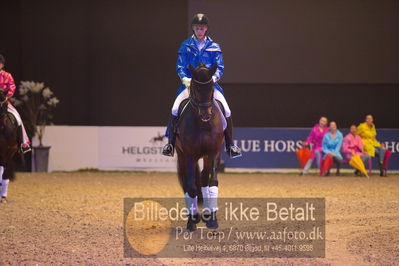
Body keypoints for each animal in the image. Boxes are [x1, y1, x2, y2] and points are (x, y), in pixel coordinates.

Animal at [177, 62, 227, 231]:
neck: (202, 124)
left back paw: (207, 212)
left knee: (204, 179)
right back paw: (193, 216)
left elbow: (212, 183)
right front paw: (193, 220)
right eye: (195, 87)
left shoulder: (213, 153)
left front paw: (212, 219)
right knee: (187, 183)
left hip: (206, 156)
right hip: (181, 155)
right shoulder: (189, 156)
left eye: (211, 87)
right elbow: (192, 187)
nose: (206, 115)